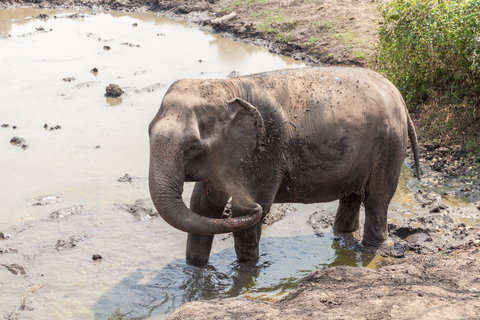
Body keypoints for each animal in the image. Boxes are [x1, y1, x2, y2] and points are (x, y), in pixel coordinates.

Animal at [149, 67, 420, 264]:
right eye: (149, 132)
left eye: (193, 147)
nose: (255, 206)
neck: (230, 87)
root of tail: (399, 95)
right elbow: (203, 207)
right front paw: (195, 269)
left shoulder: (267, 148)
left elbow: (240, 213)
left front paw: (248, 270)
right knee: (352, 196)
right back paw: (343, 236)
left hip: (390, 145)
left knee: (377, 199)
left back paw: (375, 249)